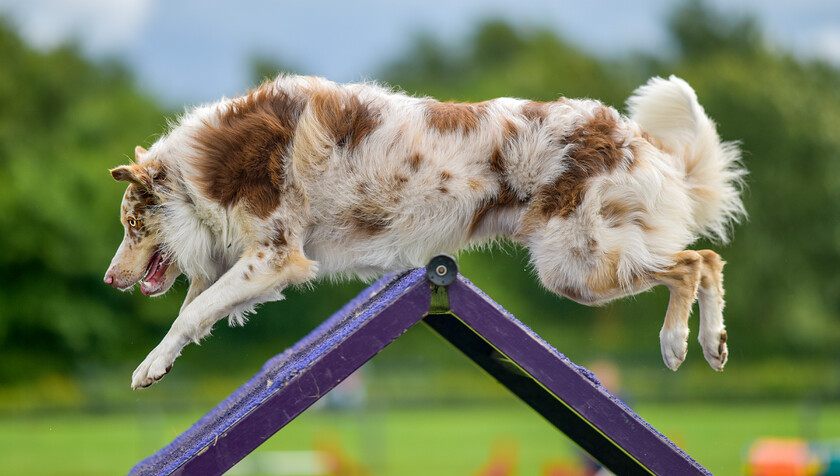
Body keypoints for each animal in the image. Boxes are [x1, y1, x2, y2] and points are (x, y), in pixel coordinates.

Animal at [101, 73, 744, 386]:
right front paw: (158, 363)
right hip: (585, 258)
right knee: (707, 260)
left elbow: (189, 314)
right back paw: (713, 345)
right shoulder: (244, 259)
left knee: (694, 262)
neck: (199, 178)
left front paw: (147, 368)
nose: (109, 278)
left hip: (574, 264)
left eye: (131, 224)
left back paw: (678, 343)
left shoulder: (278, 255)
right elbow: (196, 309)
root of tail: (630, 134)